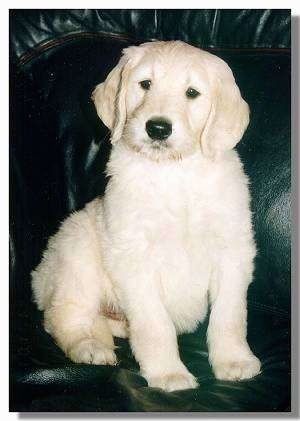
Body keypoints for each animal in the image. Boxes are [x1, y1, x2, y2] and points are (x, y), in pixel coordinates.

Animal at [31, 41, 260, 392]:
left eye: (192, 93)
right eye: (145, 84)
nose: (158, 128)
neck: (174, 173)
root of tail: (38, 279)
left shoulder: (232, 250)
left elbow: (229, 315)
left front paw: (234, 361)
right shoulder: (134, 256)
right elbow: (154, 324)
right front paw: (168, 373)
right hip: (76, 252)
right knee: (63, 316)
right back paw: (90, 346)